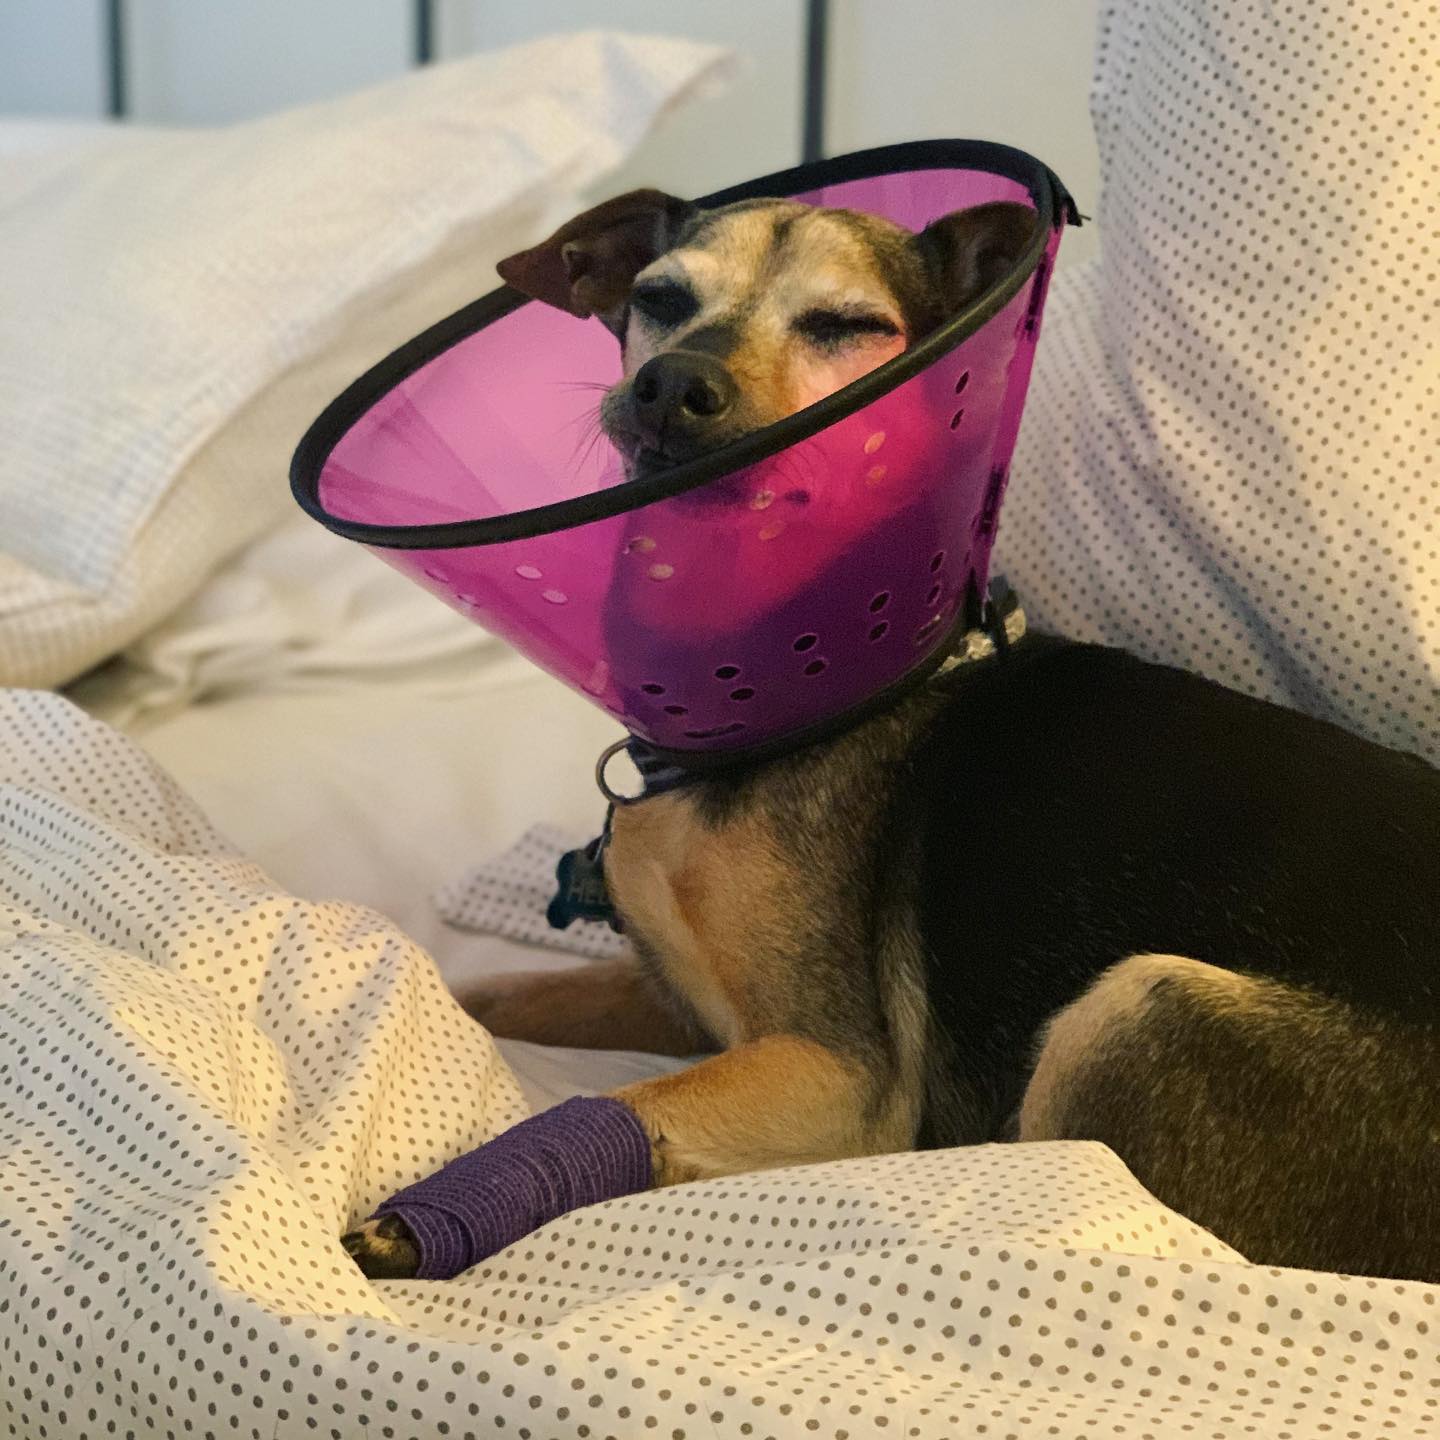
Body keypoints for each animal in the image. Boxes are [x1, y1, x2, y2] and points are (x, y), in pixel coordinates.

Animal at [342, 185, 1434, 1278]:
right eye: (659, 299)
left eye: (845, 324)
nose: (671, 384)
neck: (751, 710)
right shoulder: (688, 1005)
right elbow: (496, 991)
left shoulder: (839, 1075)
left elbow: (628, 1102)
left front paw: (410, 1221)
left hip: (1132, 1016)